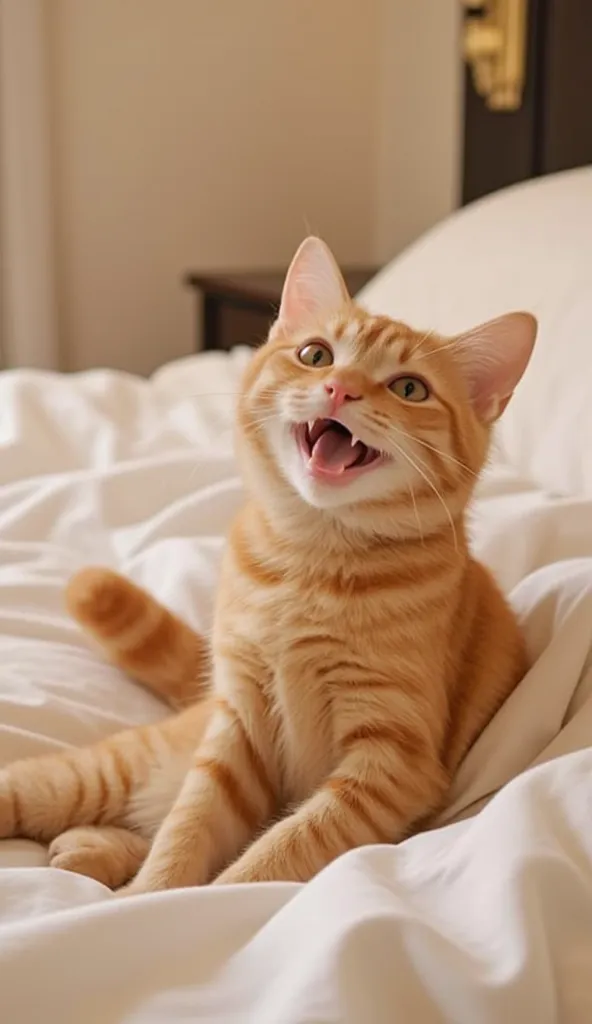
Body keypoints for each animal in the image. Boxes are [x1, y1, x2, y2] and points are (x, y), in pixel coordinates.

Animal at [0, 237, 532, 888]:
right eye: (315, 355)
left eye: (409, 389)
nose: (341, 388)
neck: (311, 559)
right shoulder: (237, 730)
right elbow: (185, 831)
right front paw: (155, 891)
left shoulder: (392, 762)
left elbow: (276, 852)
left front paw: (194, 897)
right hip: (113, 767)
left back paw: (87, 849)